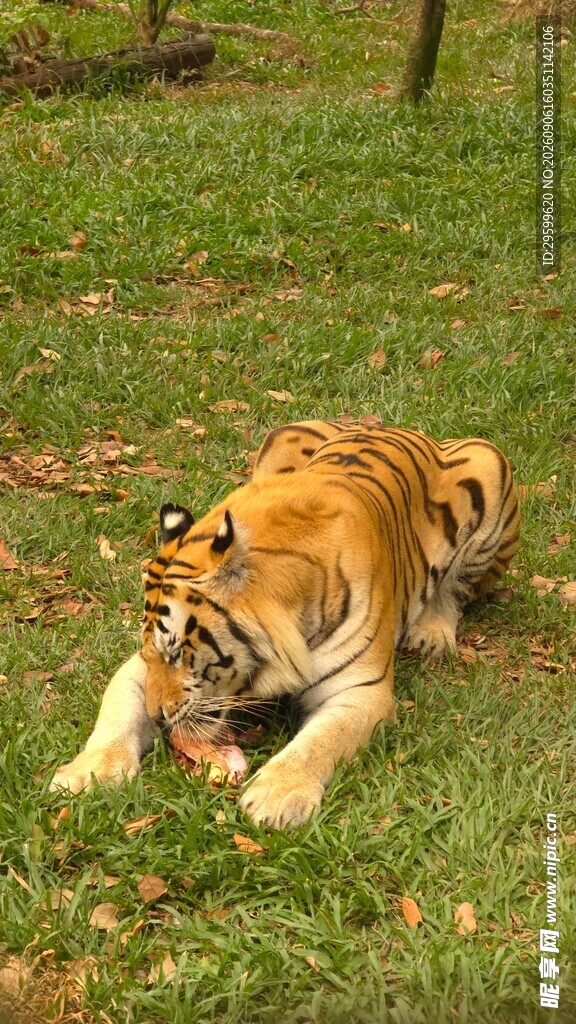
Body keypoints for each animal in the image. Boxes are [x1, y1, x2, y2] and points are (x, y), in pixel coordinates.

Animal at [50, 420, 520, 830]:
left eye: (178, 652)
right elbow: (116, 718)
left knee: (456, 589)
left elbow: (319, 743)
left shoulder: (361, 691)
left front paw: (276, 796)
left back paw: (432, 633)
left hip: (491, 467)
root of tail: (386, 423)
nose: (159, 717)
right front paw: (87, 775)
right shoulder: (135, 671)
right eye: (153, 654)